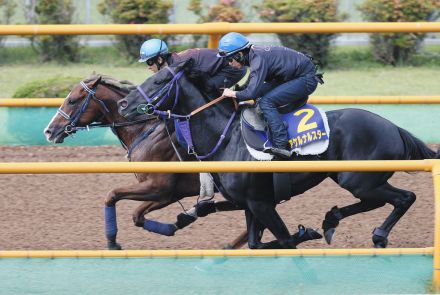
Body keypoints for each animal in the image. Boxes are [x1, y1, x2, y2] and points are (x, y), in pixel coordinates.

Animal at [43, 75, 251, 251]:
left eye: (72, 100)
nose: (49, 131)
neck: (145, 130)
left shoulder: (159, 188)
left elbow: (113, 195)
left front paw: (112, 242)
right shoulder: (168, 194)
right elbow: (137, 216)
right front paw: (179, 222)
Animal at [117, 63, 440, 250]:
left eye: (159, 82)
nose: (123, 103)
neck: (227, 137)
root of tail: (394, 128)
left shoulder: (261, 203)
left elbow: (284, 240)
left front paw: (305, 233)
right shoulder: (250, 204)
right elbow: (254, 243)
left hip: (358, 179)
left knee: (404, 197)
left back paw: (377, 234)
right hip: (354, 180)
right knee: (380, 201)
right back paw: (332, 220)